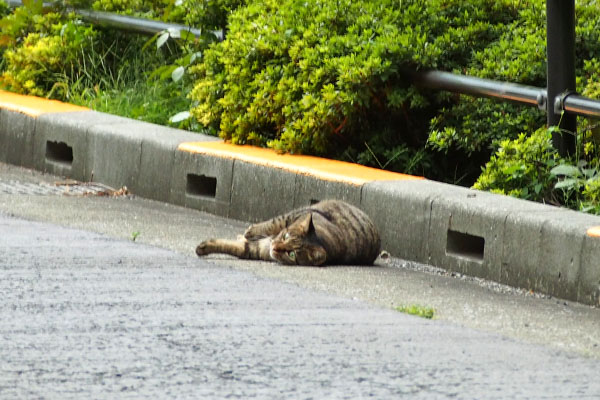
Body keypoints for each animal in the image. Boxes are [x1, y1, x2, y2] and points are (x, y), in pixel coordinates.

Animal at [196, 199, 380, 266]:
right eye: (285, 237)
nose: (276, 247)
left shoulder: (259, 250)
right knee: (271, 223)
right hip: (292, 215)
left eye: (292, 254)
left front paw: (204, 247)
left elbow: (238, 248)